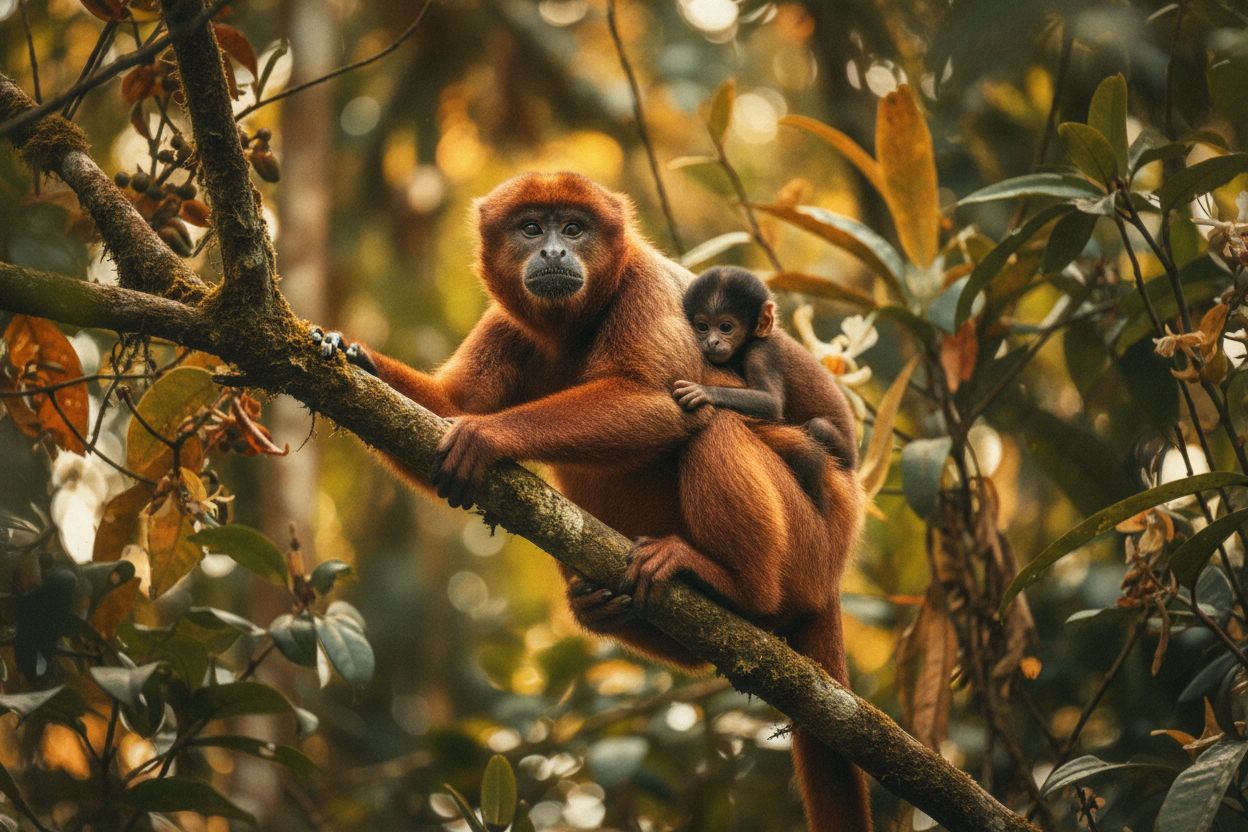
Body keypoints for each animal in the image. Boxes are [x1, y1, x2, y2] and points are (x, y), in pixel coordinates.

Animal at [672, 265, 859, 507]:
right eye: (702, 327)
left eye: (725, 327)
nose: (712, 342)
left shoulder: (762, 352)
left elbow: (771, 403)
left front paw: (704, 392)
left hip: (843, 452)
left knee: (817, 426)